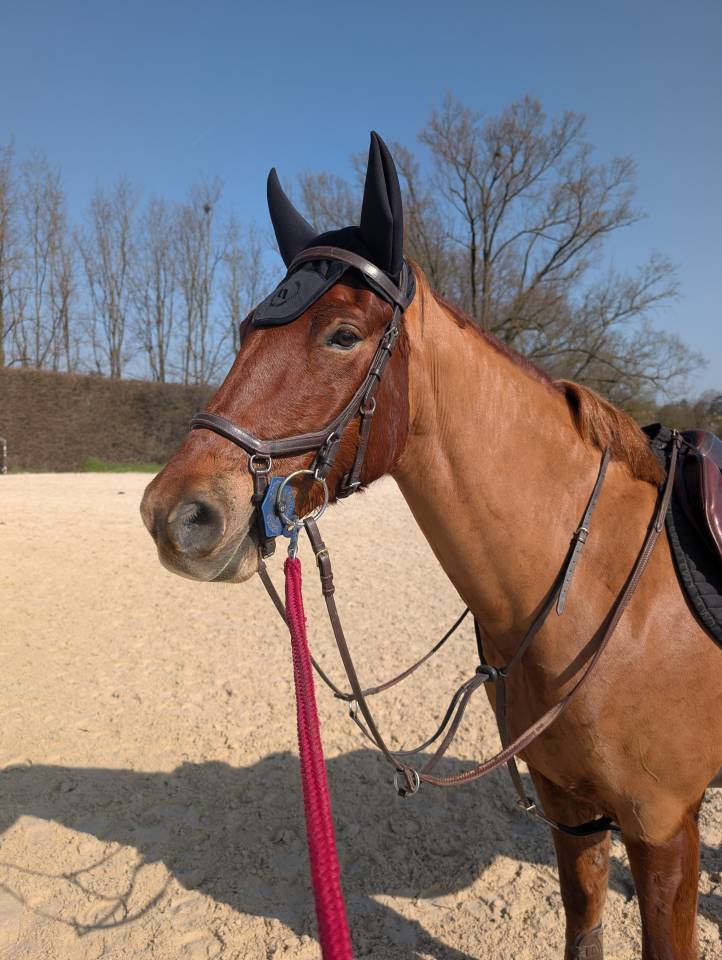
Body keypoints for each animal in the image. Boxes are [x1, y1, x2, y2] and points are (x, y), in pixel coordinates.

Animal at [140, 133, 722, 960]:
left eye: (343, 335)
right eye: (246, 331)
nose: (177, 514)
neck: (602, 588)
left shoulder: (665, 830)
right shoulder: (572, 811)